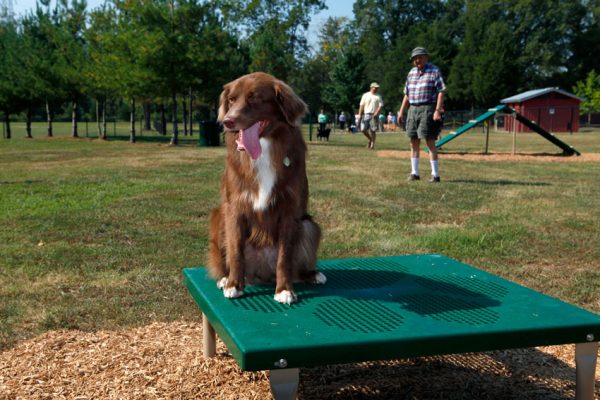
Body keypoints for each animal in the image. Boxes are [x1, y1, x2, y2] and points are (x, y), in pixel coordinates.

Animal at [207, 72, 328, 304]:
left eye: (254, 98)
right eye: (231, 100)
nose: (228, 121)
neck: (263, 149)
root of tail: (261, 273)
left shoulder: (290, 211)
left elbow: (284, 257)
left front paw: (284, 290)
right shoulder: (234, 208)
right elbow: (236, 252)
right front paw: (234, 284)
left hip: (308, 225)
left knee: (295, 266)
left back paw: (311, 274)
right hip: (220, 219)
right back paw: (226, 278)